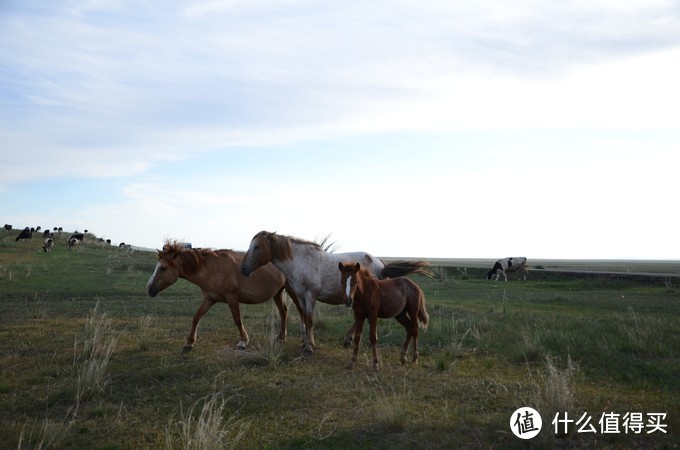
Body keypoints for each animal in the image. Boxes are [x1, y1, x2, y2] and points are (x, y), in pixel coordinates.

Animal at [147, 241, 298, 354]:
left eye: (163, 268)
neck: (212, 269)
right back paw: (281, 338)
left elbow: (237, 320)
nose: (149, 289)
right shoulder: (209, 299)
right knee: (283, 312)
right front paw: (189, 343)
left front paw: (243, 341)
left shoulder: (232, 298)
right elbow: (196, 318)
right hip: (278, 293)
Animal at [240, 232, 430, 356]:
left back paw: (348, 338)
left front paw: (309, 347)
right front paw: (306, 343)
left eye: (257, 246)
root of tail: (380, 264)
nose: (243, 269)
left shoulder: (310, 296)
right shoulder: (300, 296)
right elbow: (304, 318)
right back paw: (348, 338)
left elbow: (309, 319)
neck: (302, 262)